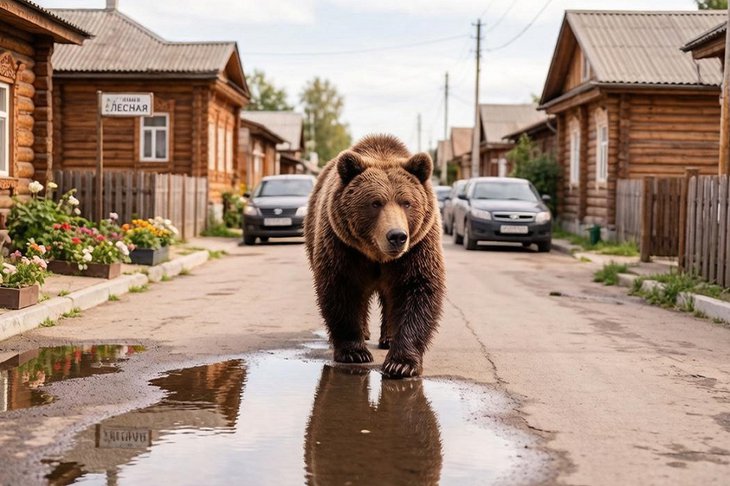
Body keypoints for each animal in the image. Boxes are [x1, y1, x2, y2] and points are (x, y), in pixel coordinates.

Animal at [304, 134, 445, 379]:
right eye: (375, 202)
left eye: (407, 202)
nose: (397, 236)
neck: (378, 255)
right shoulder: (343, 247)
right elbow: (341, 289)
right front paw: (354, 352)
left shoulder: (418, 248)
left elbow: (418, 289)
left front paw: (401, 363)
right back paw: (362, 333)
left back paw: (388, 338)